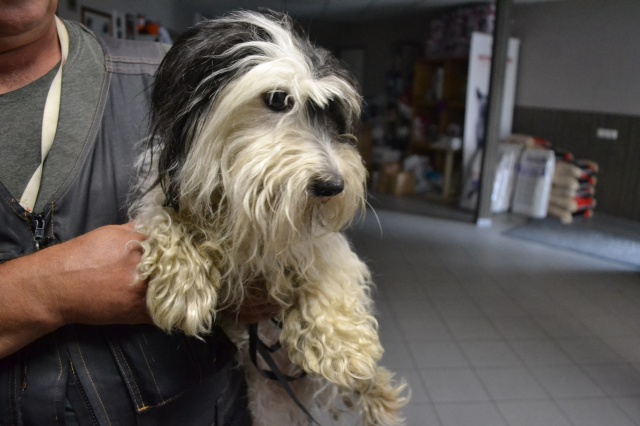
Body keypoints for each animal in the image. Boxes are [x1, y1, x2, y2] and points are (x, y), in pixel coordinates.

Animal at [131, 10, 408, 425]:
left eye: (333, 114)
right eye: (278, 99)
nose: (334, 185)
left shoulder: (312, 236)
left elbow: (328, 259)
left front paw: (342, 343)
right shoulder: (169, 192)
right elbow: (166, 216)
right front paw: (182, 279)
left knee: (371, 385)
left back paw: (377, 397)